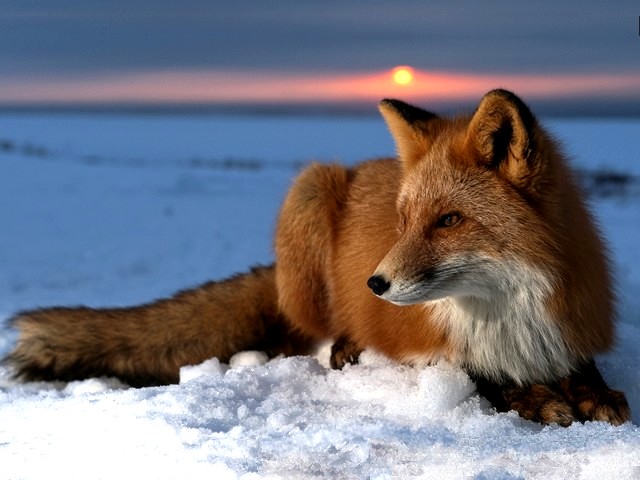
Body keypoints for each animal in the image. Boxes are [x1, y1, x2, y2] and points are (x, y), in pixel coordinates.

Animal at [3, 89, 629, 426]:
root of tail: (363, 165)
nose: (375, 283)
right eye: (403, 221)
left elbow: (586, 372)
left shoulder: (569, 328)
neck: (508, 317)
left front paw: (592, 393)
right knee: (304, 333)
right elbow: (483, 378)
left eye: (449, 220)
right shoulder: (436, 350)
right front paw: (537, 400)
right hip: (309, 191)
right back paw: (344, 345)